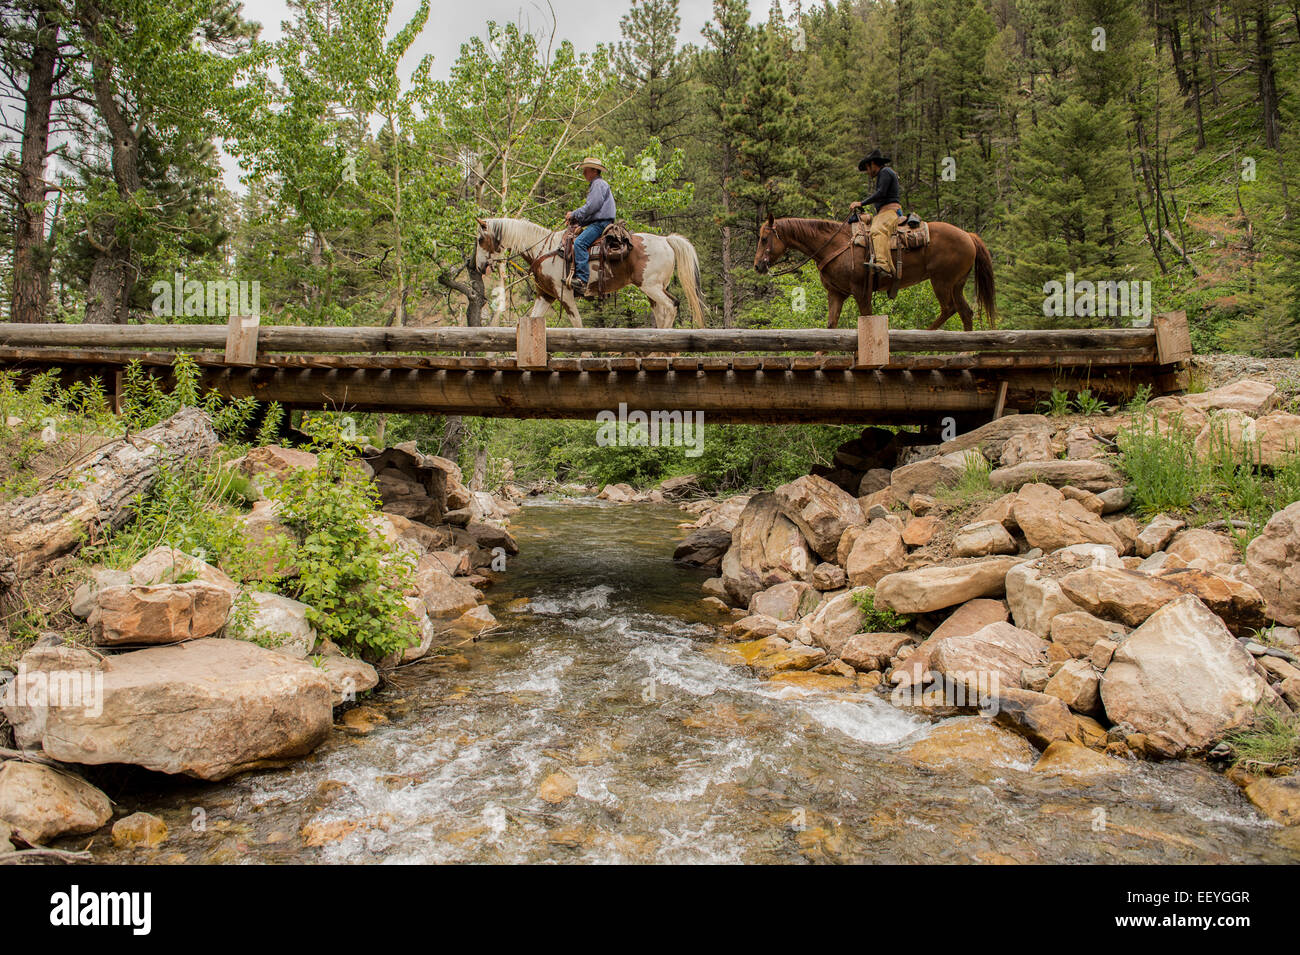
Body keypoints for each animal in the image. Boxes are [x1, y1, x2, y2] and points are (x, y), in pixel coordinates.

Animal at [473, 216, 707, 328]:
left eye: (480, 239)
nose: (477, 266)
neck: (544, 249)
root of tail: (666, 240)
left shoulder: (565, 295)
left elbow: (577, 323)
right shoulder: (545, 296)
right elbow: (533, 319)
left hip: (651, 287)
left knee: (672, 305)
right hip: (654, 290)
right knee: (662, 311)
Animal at [754, 216, 993, 332]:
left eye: (764, 239)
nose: (757, 266)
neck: (834, 245)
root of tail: (969, 236)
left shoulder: (861, 291)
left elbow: (866, 318)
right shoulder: (837, 293)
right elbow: (831, 324)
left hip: (941, 281)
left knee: (949, 308)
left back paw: (926, 332)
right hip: (957, 284)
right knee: (965, 312)